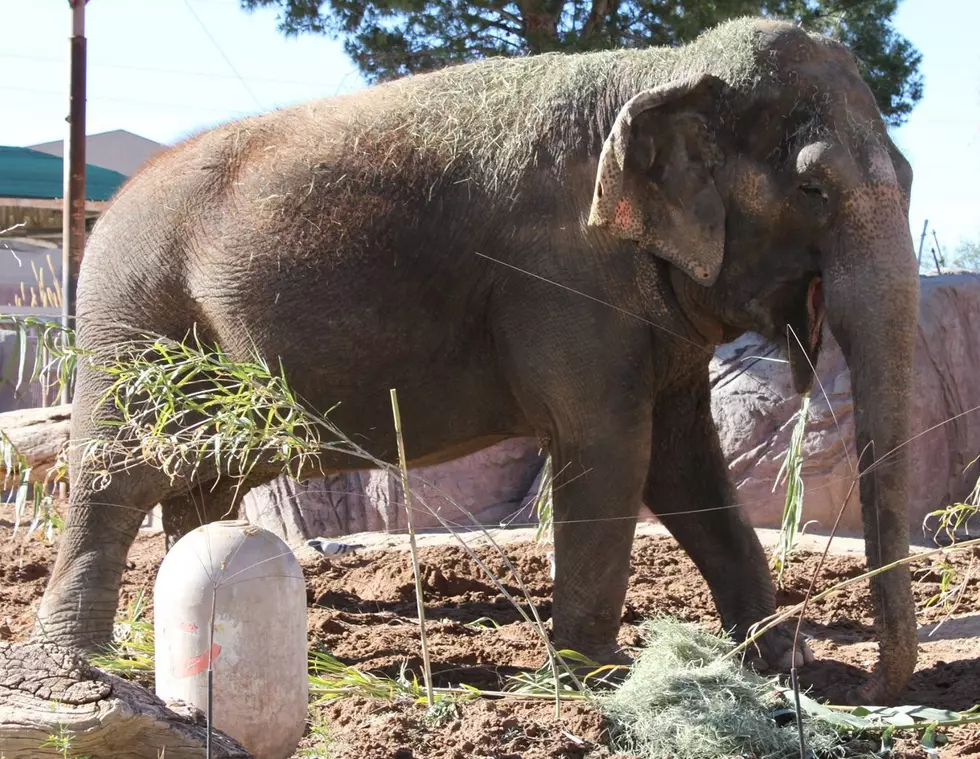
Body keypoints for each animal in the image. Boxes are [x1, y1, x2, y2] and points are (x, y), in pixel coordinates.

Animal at [36, 16, 920, 708]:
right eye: (813, 190)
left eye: (908, 176)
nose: (877, 688)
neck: (665, 66)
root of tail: (106, 211)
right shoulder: (564, 276)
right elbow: (609, 446)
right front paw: (594, 682)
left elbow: (683, 464)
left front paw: (777, 665)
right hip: (132, 320)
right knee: (120, 470)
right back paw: (73, 669)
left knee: (203, 476)